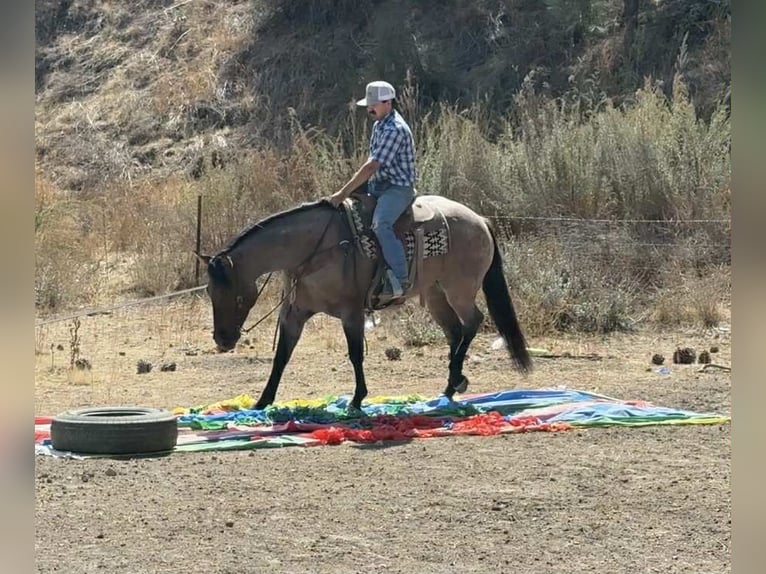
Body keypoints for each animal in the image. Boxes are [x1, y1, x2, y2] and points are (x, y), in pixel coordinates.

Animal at [195, 193, 532, 411]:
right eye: (210, 292)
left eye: (236, 295)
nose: (223, 340)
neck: (314, 248)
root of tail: (480, 220)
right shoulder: (295, 312)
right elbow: (282, 357)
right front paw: (262, 401)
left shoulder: (351, 312)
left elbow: (355, 354)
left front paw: (357, 400)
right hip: (436, 294)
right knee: (456, 332)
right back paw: (452, 384)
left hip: (459, 289)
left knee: (472, 322)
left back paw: (455, 380)